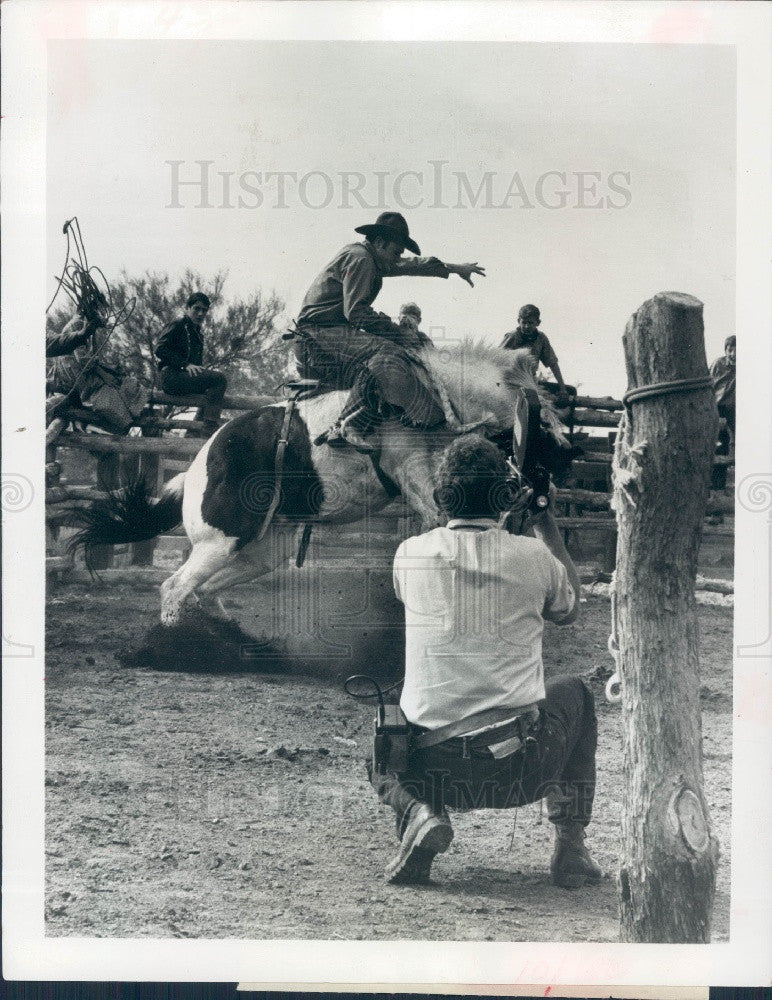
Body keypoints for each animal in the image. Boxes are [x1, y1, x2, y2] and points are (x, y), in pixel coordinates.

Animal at [71, 344, 580, 624]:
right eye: (544, 432)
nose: (552, 483)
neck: (437, 397)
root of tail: (196, 468)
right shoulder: (416, 474)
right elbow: (441, 512)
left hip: (263, 547)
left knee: (206, 590)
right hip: (220, 539)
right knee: (175, 588)